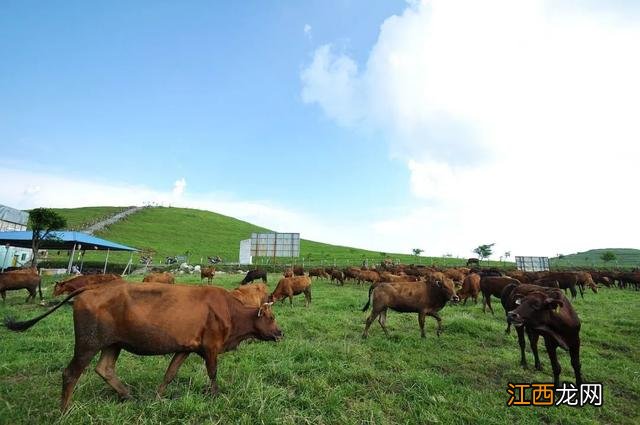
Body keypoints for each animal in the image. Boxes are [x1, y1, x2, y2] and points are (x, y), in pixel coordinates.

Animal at [3, 282, 282, 410]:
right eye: (271, 318)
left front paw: (158, 397)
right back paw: (64, 410)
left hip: (113, 343)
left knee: (104, 369)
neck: (230, 312)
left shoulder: (185, 347)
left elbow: (170, 373)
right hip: (87, 343)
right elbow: (213, 372)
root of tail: (90, 288)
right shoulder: (210, 346)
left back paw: (128, 395)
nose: (281, 332)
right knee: (71, 373)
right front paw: (215, 395)